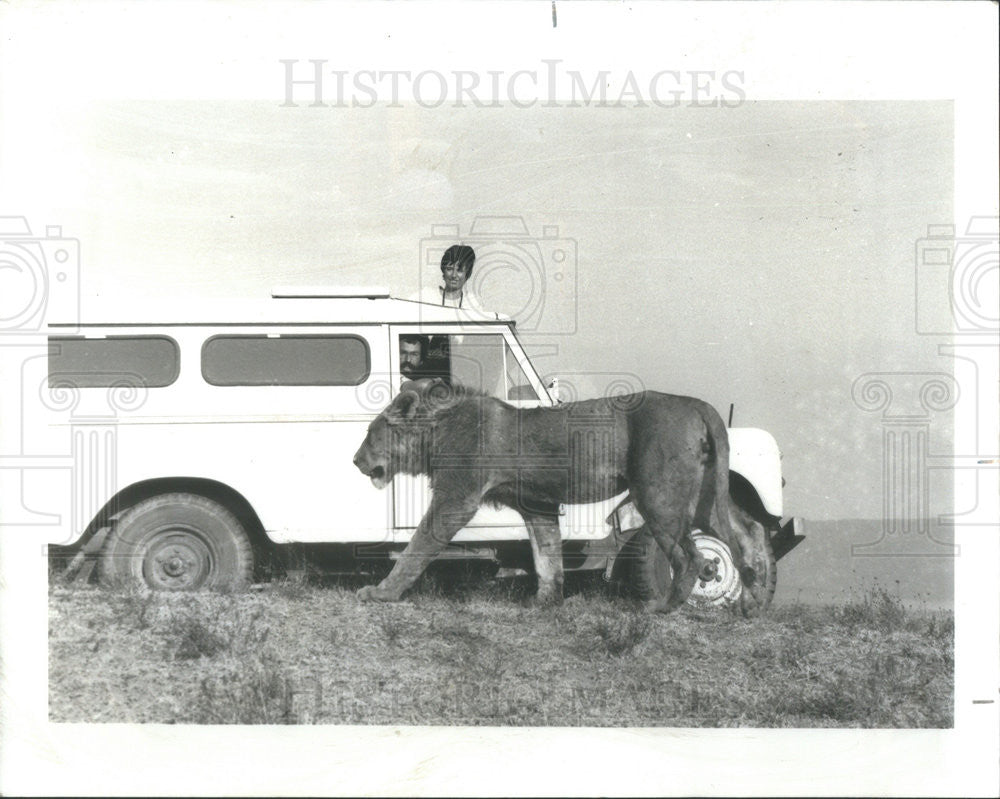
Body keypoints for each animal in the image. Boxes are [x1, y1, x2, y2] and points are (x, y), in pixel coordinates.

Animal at [350, 378, 756, 608]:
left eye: (371, 433)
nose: (354, 460)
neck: (435, 431)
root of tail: (693, 403)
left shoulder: (455, 498)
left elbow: (416, 548)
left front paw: (381, 593)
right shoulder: (537, 505)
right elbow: (546, 555)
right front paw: (546, 601)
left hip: (658, 496)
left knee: (692, 557)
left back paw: (663, 607)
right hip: (704, 496)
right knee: (748, 533)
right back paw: (754, 599)